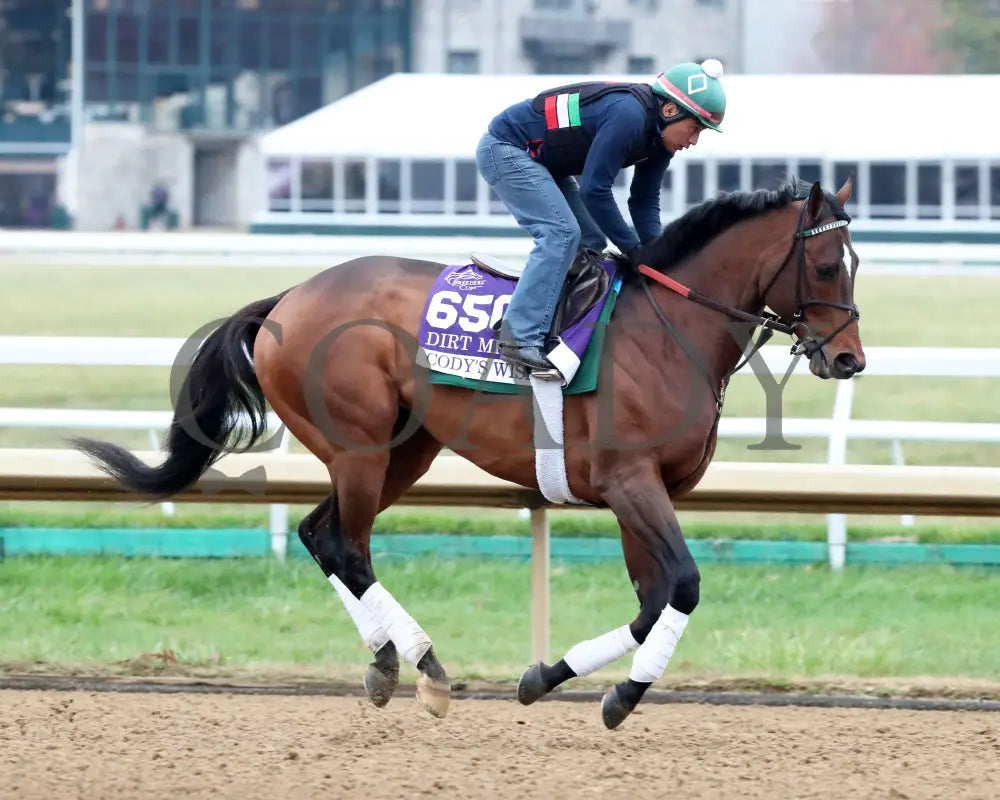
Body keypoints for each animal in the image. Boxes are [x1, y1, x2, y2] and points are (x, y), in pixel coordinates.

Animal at [73, 175, 865, 729]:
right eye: (828, 265)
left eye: (855, 262)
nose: (848, 358)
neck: (670, 332)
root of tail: (287, 299)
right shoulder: (629, 481)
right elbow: (686, 585)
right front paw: (622, 695)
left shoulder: (644, 491)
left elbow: (652, 601)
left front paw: (546, 678)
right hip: (359, 446)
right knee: (347, 545)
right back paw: (423, 668)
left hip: (407, 450)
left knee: (321, 534)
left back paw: (386, 662)